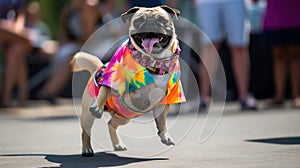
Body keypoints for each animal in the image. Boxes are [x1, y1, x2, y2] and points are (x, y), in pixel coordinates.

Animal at [70, 5, 185, 158]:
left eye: (162, 20)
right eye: (138, 21)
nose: (150, 23)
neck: (154, 63)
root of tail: (98, 68)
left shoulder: (164, 100)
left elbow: (162, 121)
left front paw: (165, 136)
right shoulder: (113, 77)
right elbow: (106, 90)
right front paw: (98, 107)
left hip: (125, 116)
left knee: (111, 124)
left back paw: (118, 144)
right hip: (88, 115)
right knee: (86, 132)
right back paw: (87, 149)